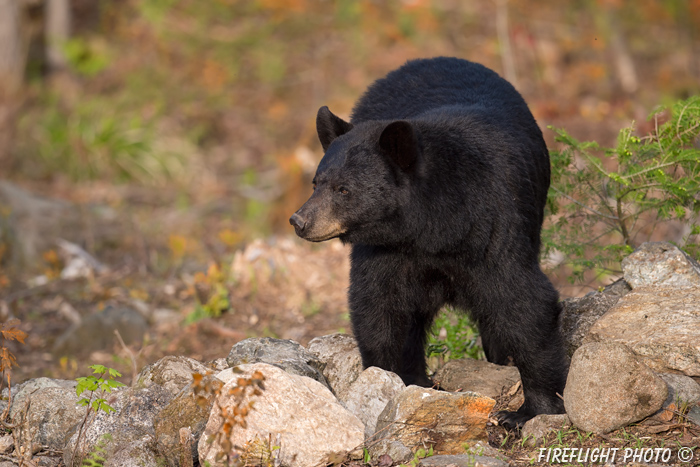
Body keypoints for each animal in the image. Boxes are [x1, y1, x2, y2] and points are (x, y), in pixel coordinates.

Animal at [290, 56, 568, 430]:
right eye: (316, 182)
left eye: (343, 189)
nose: (299, 221)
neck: (433, 228)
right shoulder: (387, 252)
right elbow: (379, 306)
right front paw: (392, 380)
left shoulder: (494, 228)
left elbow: (523, 302)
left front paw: (529, 410)